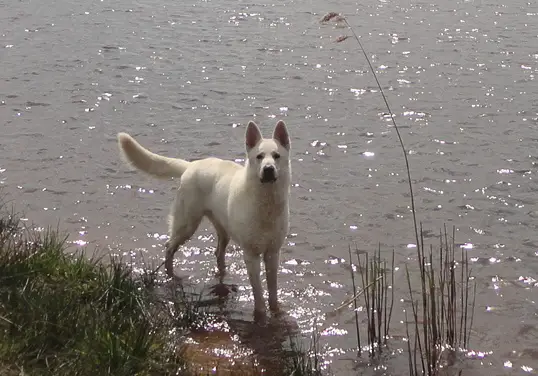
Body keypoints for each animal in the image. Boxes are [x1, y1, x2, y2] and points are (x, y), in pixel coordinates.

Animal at [117, 120, 292, 320]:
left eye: (277, 156)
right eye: (259, 156)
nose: (268, 169)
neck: (266, 204)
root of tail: (190, 165)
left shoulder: (272, 253)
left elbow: (272, 290)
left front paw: (276, 311)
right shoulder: (251, 255)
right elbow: (259, 294)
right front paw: (261, 315)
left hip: (222, 231)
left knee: (218, 253)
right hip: (187, 225)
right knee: (169, 247)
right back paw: (170, 275)